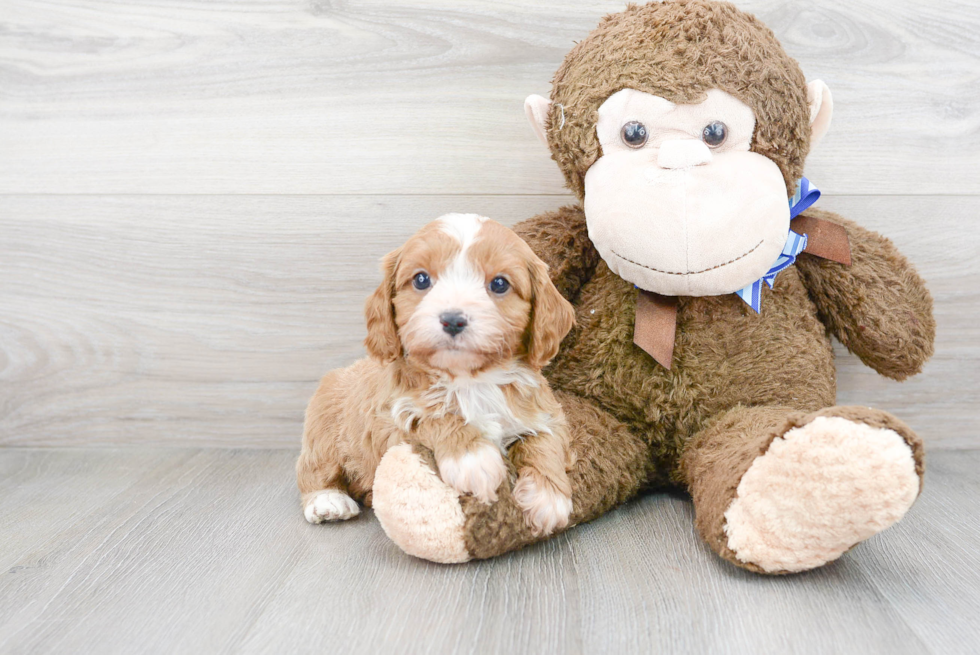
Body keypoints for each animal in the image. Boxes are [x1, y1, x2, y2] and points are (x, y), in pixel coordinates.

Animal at [294, 215, 580, 540]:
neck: (471, 380)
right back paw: (328, 501)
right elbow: (435, 415)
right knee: (313, 469)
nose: (453, 319)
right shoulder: (392, 416)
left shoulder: (544, 411)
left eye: (499, 284)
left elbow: (545, 441)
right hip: (323, 431)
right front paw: (473, 458)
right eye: (421, 280)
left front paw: (548, 497)